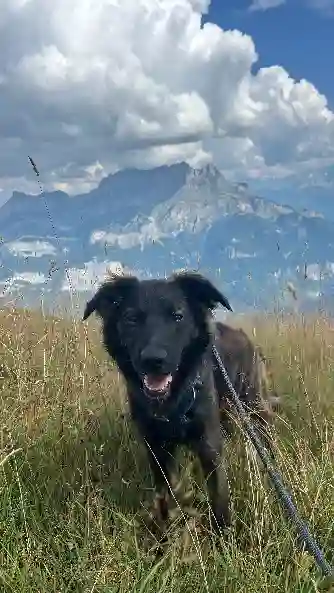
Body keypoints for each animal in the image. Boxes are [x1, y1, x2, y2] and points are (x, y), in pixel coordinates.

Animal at [82, 272, 276, 532]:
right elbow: (165, 497)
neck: (172, 400)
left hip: (253, 406)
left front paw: (224, 536)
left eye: (178, 316)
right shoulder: (157, 450)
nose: (153, 360)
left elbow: (219, 496)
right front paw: (164, 535)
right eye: (131, 318)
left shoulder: (209, 445)